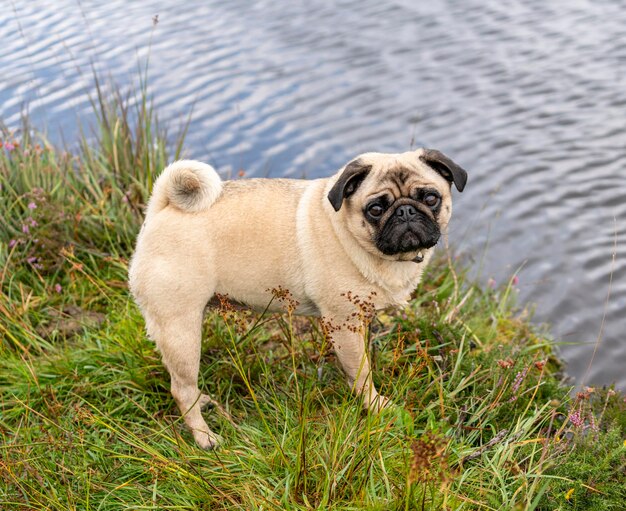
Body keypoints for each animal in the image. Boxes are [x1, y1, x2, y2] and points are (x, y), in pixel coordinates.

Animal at [129, 149, 466, 448]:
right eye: (375, 209)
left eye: (431, 198)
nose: (406, 211)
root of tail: (161, 208)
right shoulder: (343, 323)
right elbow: (362, 373)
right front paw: (377, 407)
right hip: (180, 331)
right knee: (181, 389)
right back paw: (204, 437)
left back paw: (205, 403)